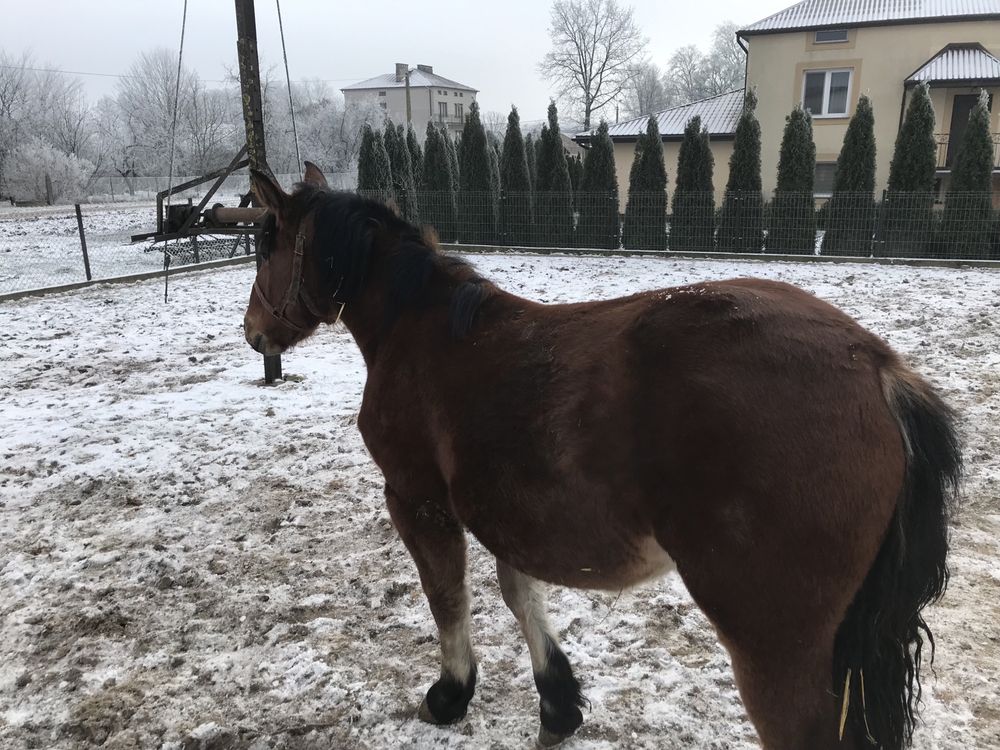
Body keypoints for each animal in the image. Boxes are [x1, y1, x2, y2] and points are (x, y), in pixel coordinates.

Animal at [242, 166, 960, 750]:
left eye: (266, 243)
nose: (253, 332)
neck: (422, 331)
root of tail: (878, 368)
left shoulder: (417, 500)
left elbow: (448, 596)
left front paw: (451, 695)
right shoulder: (502, 508)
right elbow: (519, 593)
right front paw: (558, 704)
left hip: (778, 652)